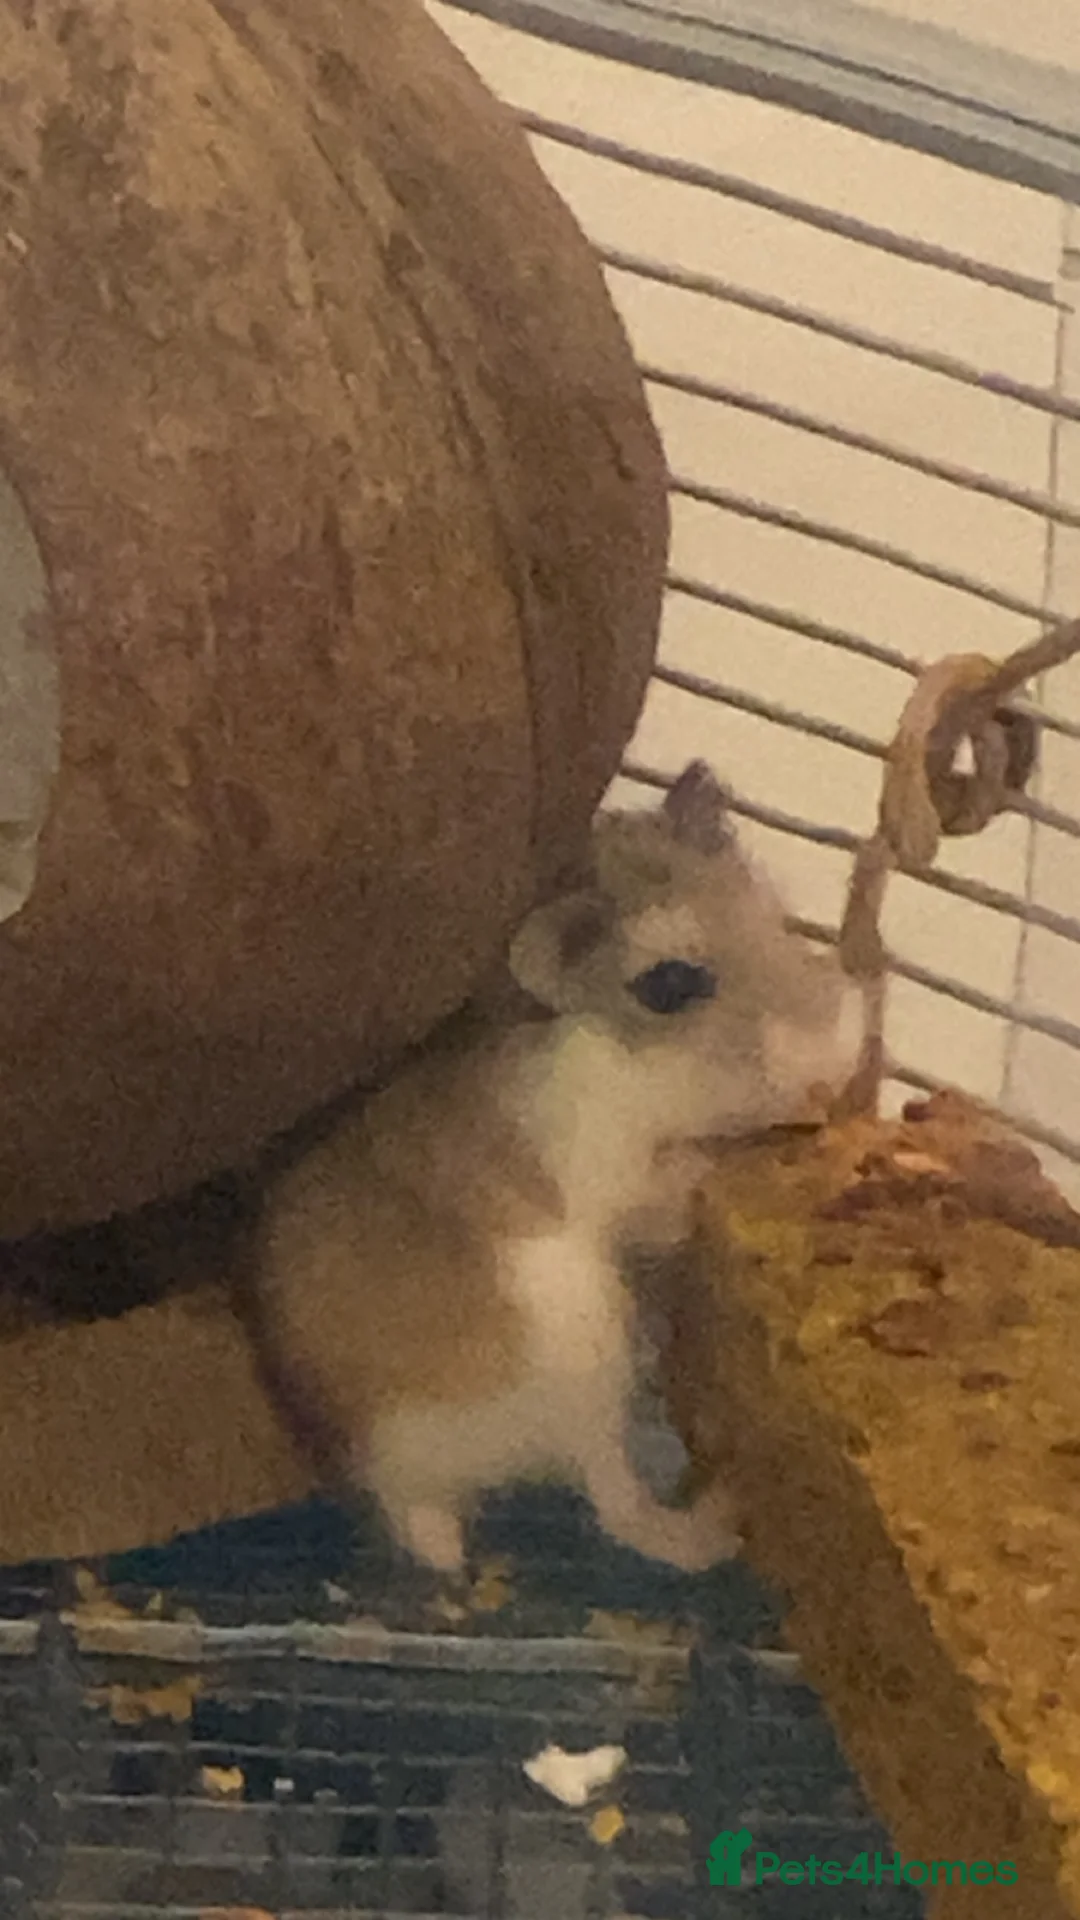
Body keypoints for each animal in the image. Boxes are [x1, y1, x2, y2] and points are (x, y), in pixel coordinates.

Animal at [243, 761, 863, 1574]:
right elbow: (663, 1189)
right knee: (617, 1507)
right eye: (669, 985)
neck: (623, 1063)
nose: (834, 1073)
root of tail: (414, 1482)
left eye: (779, 920)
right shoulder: (607, 1171)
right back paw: (712, 1522)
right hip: (586, 1356)